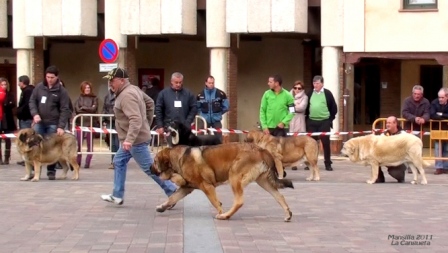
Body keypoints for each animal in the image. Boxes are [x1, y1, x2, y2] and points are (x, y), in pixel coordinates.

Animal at [152, 143, 296, 222]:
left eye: (155, 161)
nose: (149, 167)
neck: (179, 159)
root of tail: (262, 149)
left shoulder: (206, 186)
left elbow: (215, 202)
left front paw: (221, 212)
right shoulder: (186, 188)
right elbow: (172, 197)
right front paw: (162, 207)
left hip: (234, 176)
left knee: (239, 202)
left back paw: (225, 216)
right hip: (263, 181)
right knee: (279, 196)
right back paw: (288, 214)